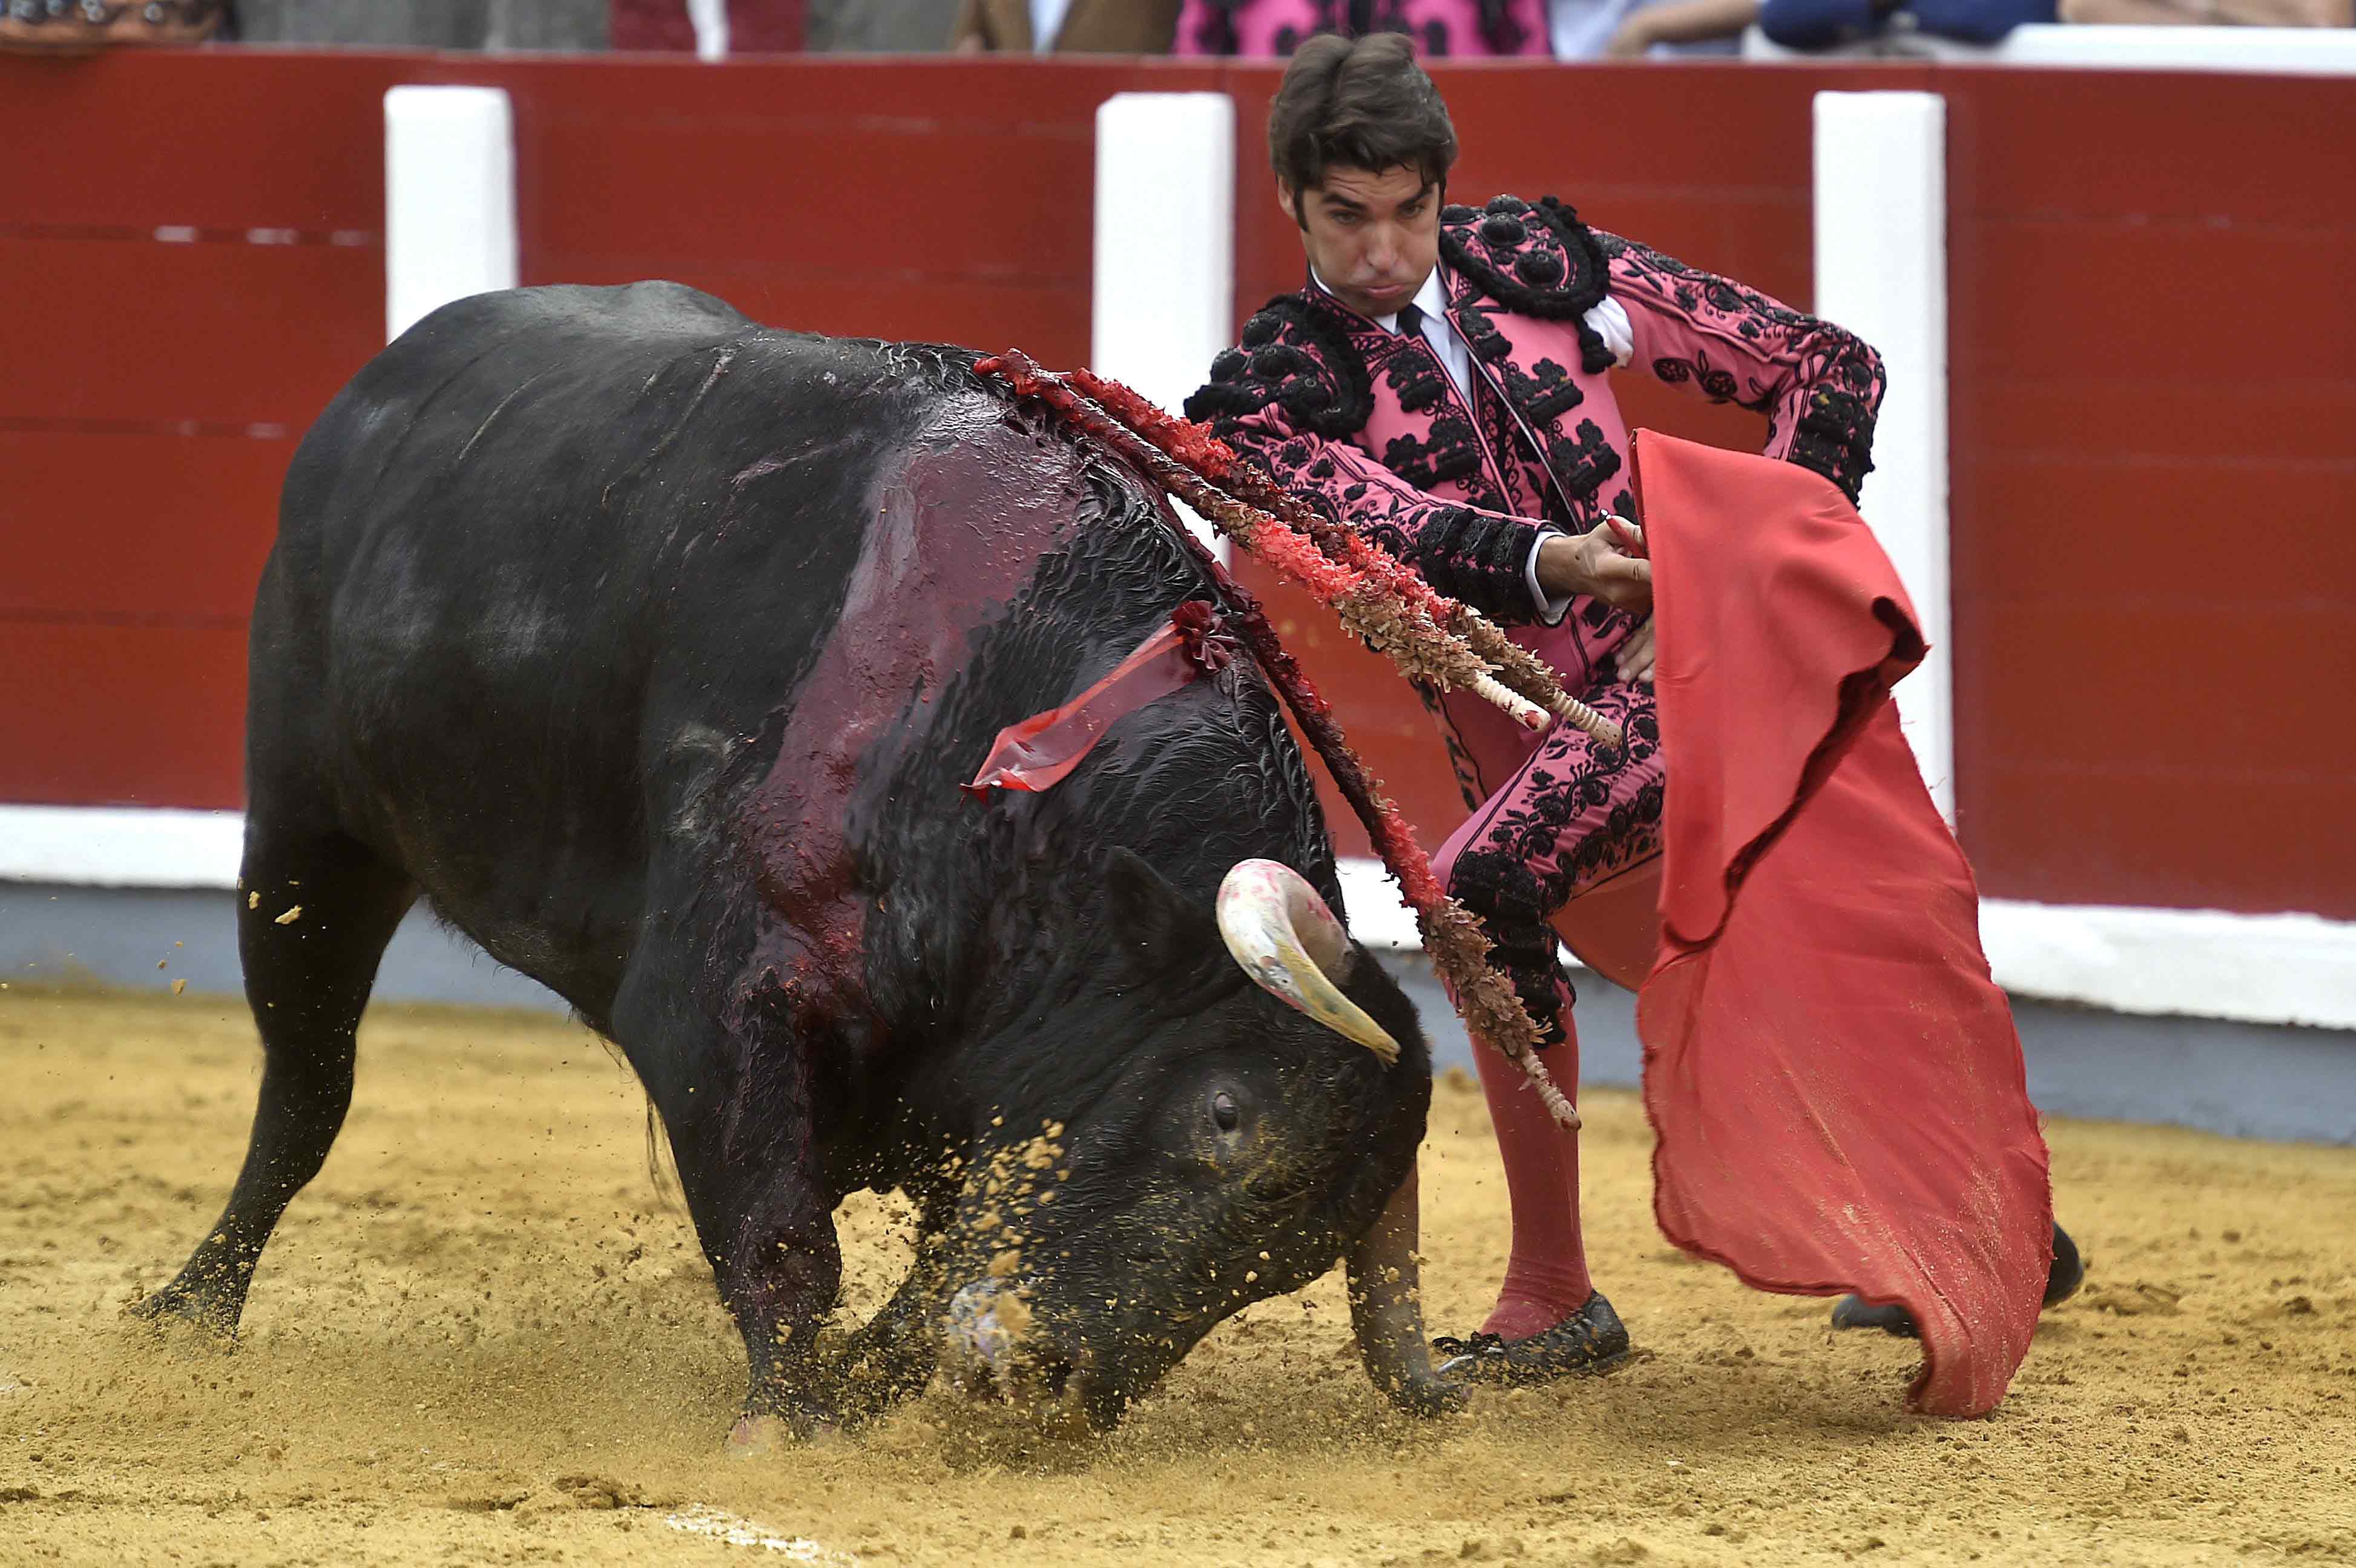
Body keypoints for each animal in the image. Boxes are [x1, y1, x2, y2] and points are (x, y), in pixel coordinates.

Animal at [133, 284, 1451, 1443]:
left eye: (1290, 1263)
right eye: (1226, 1117)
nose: (1045, 1381)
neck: (996, 727)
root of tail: (382, 383)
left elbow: (927, 1272)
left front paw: (861, 1392)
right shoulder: (712, 1005)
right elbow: (780, 1238)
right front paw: (790, 1424)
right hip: (306, 834)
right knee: (305, 1092)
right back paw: (188, 1310)